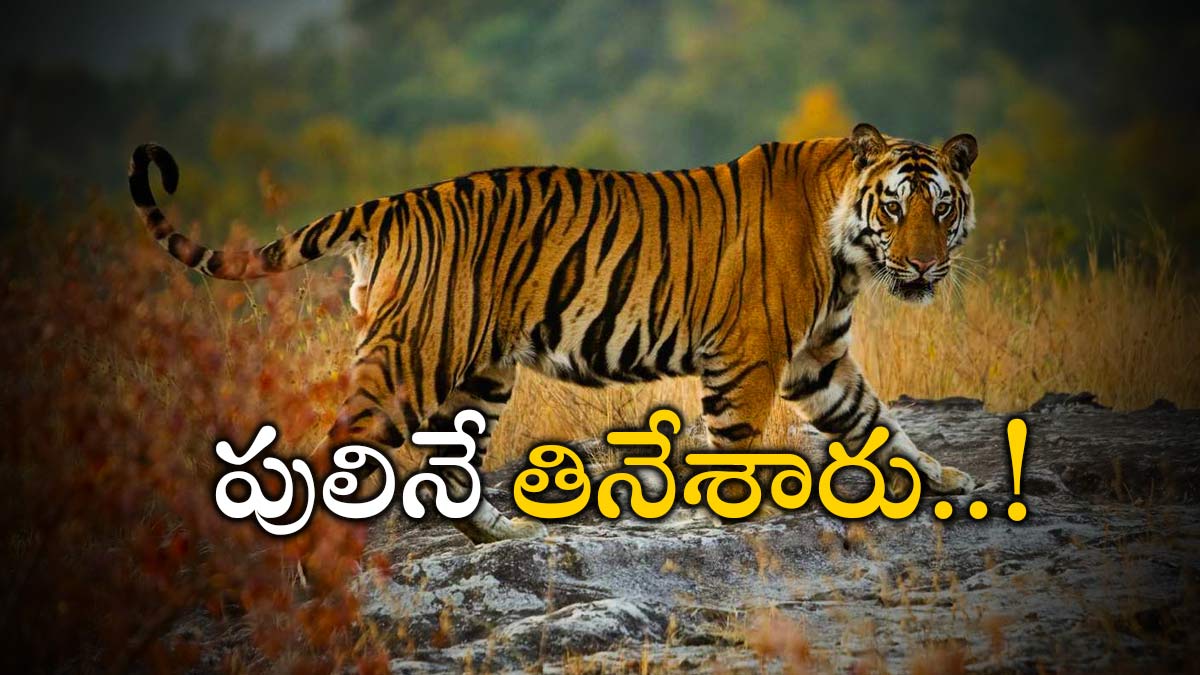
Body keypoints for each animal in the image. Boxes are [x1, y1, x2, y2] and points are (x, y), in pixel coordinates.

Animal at [128, 122, 978, 543]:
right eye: (896, 207)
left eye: (941, 208)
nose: (925, 266)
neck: (849, 253)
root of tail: (392, 203)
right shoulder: (750, 357)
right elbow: (737, 445)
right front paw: (740, 520)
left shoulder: (818, 360)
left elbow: (878, 424)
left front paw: (950, 481)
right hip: (411, 360)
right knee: (340, 450)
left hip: (480, 372)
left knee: (448, 465)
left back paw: (498, 533)